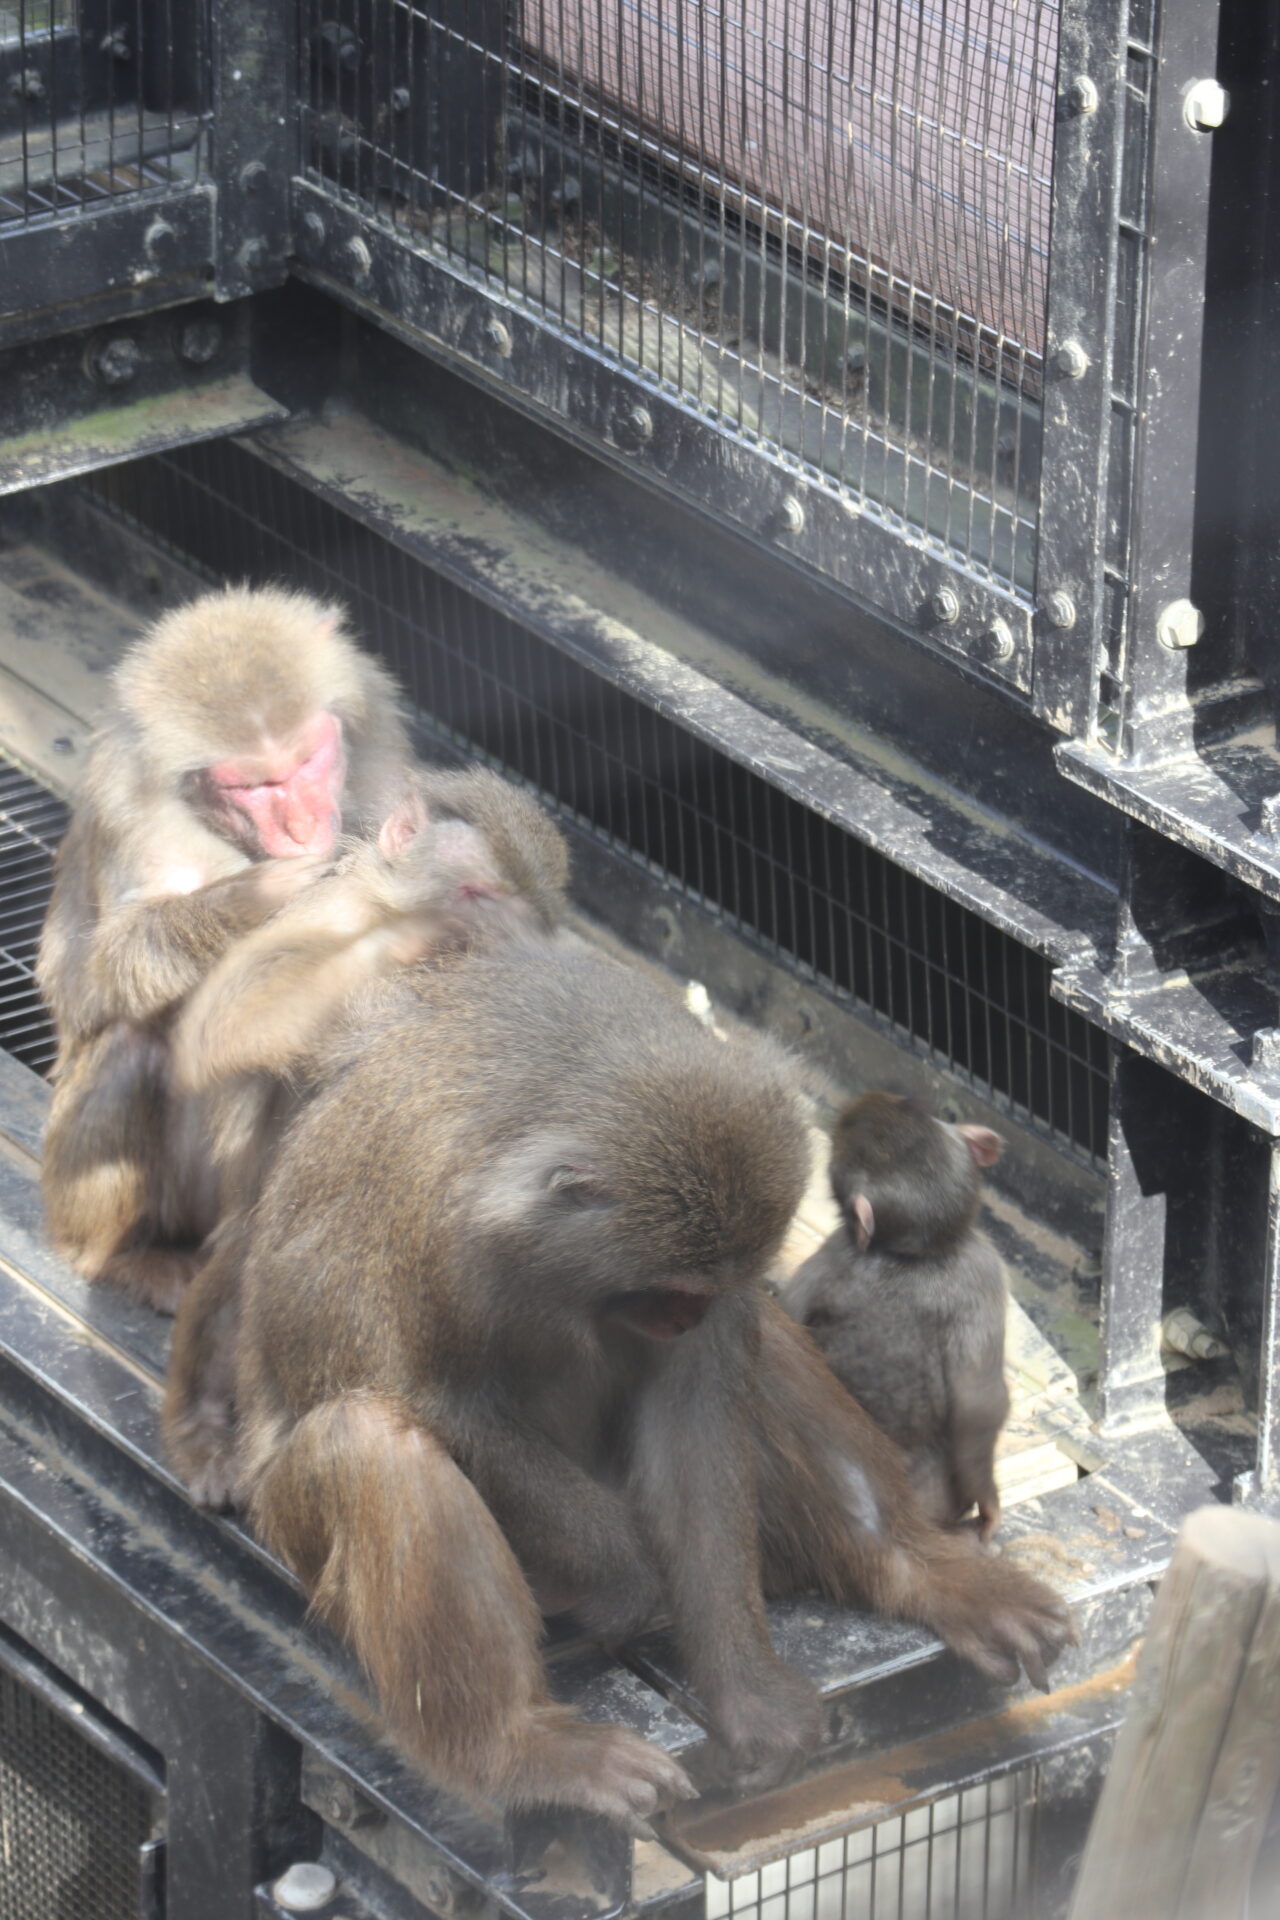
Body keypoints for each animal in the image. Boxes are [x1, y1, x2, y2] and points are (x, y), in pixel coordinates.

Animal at [164, 768, 571, 1512]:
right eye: (475, 895)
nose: (483, 941)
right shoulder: (334, 912)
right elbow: (228, 1021)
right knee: (244, 1250)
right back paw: (203, 1429)